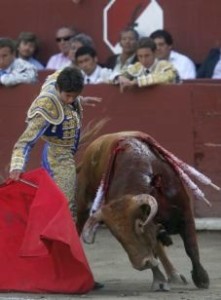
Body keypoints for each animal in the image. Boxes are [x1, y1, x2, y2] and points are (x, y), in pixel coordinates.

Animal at [75, 131, 218, 290]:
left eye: (139, 225)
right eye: (117, 235)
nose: (141, 265)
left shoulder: (185, 213)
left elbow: (191, 247)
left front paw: (202, 279)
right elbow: (152, 248)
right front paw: (159, 280)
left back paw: (174, 276)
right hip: (83, 205)